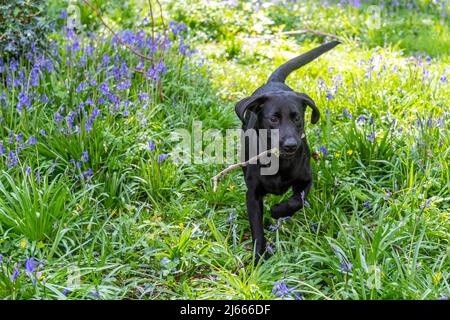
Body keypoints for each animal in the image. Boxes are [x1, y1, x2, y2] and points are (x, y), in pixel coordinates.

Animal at [237, 41, 340, 262]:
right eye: (273, 119)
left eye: (297, 118)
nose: (291, 145)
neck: (280, 162)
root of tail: (275, 82)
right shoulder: (253, 194)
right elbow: (256, 228)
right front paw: (259, 258)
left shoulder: (306, 180)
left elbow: (296, 201)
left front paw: (278, 211)